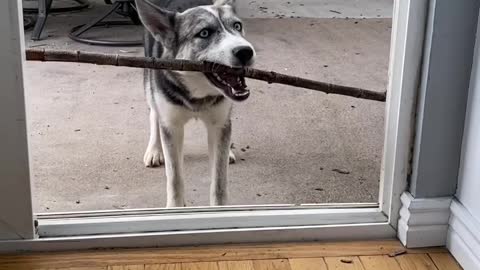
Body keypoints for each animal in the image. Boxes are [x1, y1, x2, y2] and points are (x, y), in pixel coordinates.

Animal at [135, 0, 255, 208]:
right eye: (204, 33)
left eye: (237, 26)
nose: (246, 51)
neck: (198, 93)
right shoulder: (172, 126)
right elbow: (174, 178)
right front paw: (174, 208)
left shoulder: (219, 124)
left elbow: (219, 179)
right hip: (149, 84)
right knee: (154, 113)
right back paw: (154, 149)